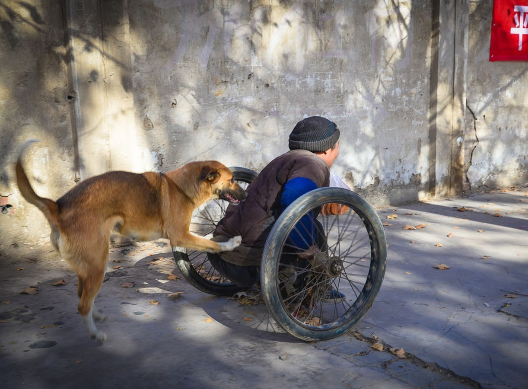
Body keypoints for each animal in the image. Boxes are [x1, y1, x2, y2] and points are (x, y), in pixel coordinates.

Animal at [15, 141, 246, 342]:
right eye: (232, 180)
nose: (246, 194)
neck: (181, 187)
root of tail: (58, 206)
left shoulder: (184, 236)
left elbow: (206, 239)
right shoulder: (179, 236)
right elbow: (213, 245)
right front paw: (231, 243)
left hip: (87, 266)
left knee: (82, 295)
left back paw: (96, 315)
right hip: (98, 264)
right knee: (83, 304)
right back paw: (96, 334)